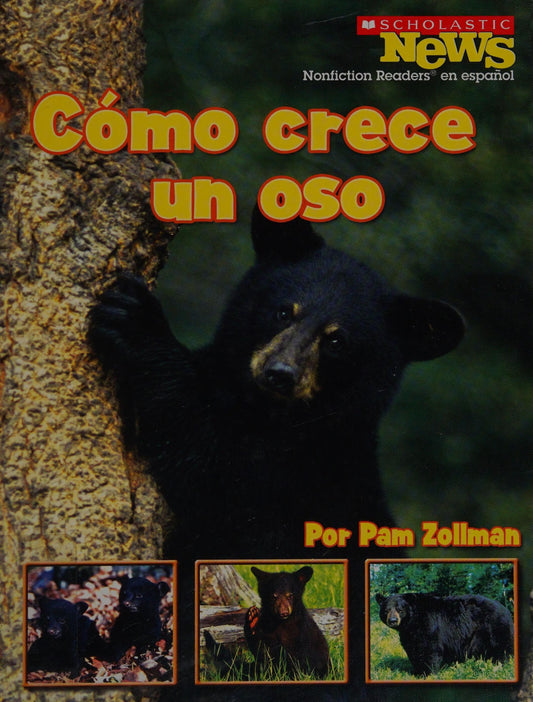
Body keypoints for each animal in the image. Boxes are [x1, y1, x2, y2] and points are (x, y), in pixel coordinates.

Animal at [88, 206, 464, 698]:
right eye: (284, 310)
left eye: (336, 339)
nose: (279, 373)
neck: (270, 416)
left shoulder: (299, 478)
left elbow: (214, 473)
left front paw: (136, 318)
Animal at [375, 592, 514, 676]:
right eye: (386, 610)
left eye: (400, 609)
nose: (393, 620)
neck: (412, 621)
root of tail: (505, 609)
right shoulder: (409, 634)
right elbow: (413, 650)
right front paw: (417, 671)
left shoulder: (429, 626)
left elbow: (430, 649)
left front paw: (429, 673)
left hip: (494, 627)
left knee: (502, 648)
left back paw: (502, 664)